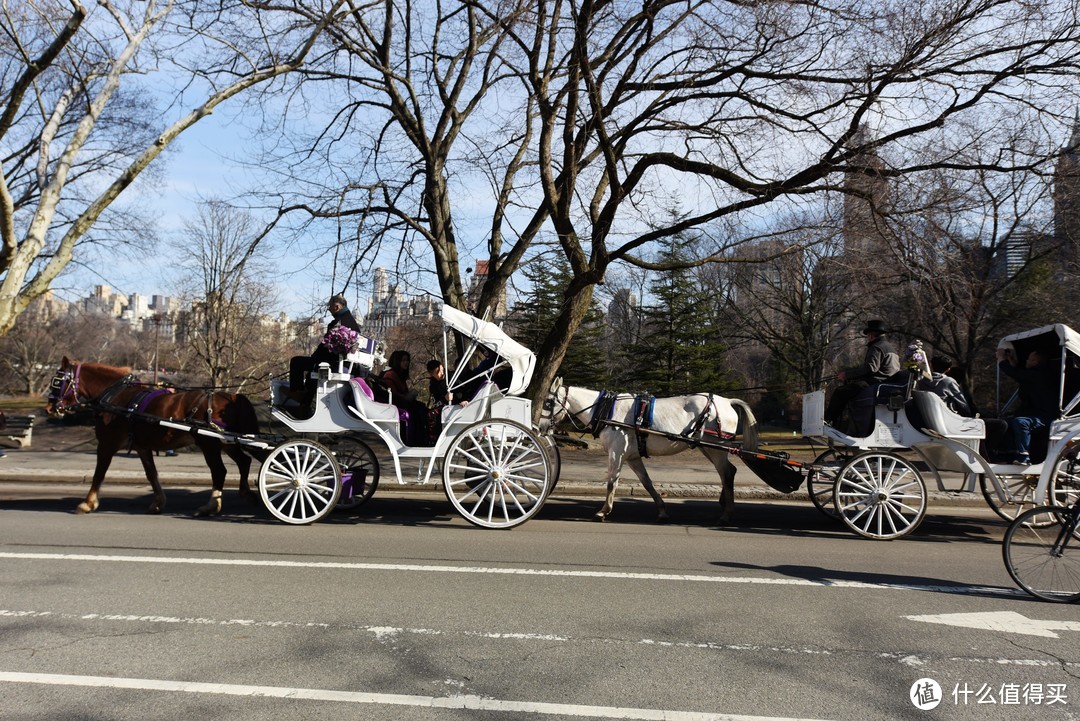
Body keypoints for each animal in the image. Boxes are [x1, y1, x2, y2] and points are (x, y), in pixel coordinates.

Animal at [45, 356, 260, 515]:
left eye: (57, 381)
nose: (50, 408)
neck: (115, 396)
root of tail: (232, 396)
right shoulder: (142, 446)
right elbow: (151, 473)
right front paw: (158, 502)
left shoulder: (107, 444)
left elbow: (99, 473)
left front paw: (88, 503)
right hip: (225, 442)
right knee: (244, 462)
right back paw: (246, 494)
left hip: (209, 443)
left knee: (219, 471)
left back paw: (211, 506)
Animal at [540, 377, 760, 524]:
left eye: (548, 402)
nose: (541, 428)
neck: (606, 410)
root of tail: (727, 401)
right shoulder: (632, 457)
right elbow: (647, 483)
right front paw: (662, 510)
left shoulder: (616, 453)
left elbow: (611, 482)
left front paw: (604, 511)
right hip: (708, 448)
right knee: (728, 472)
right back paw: (724, 504)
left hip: (715, 448)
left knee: (727, 473)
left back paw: (727, 513)